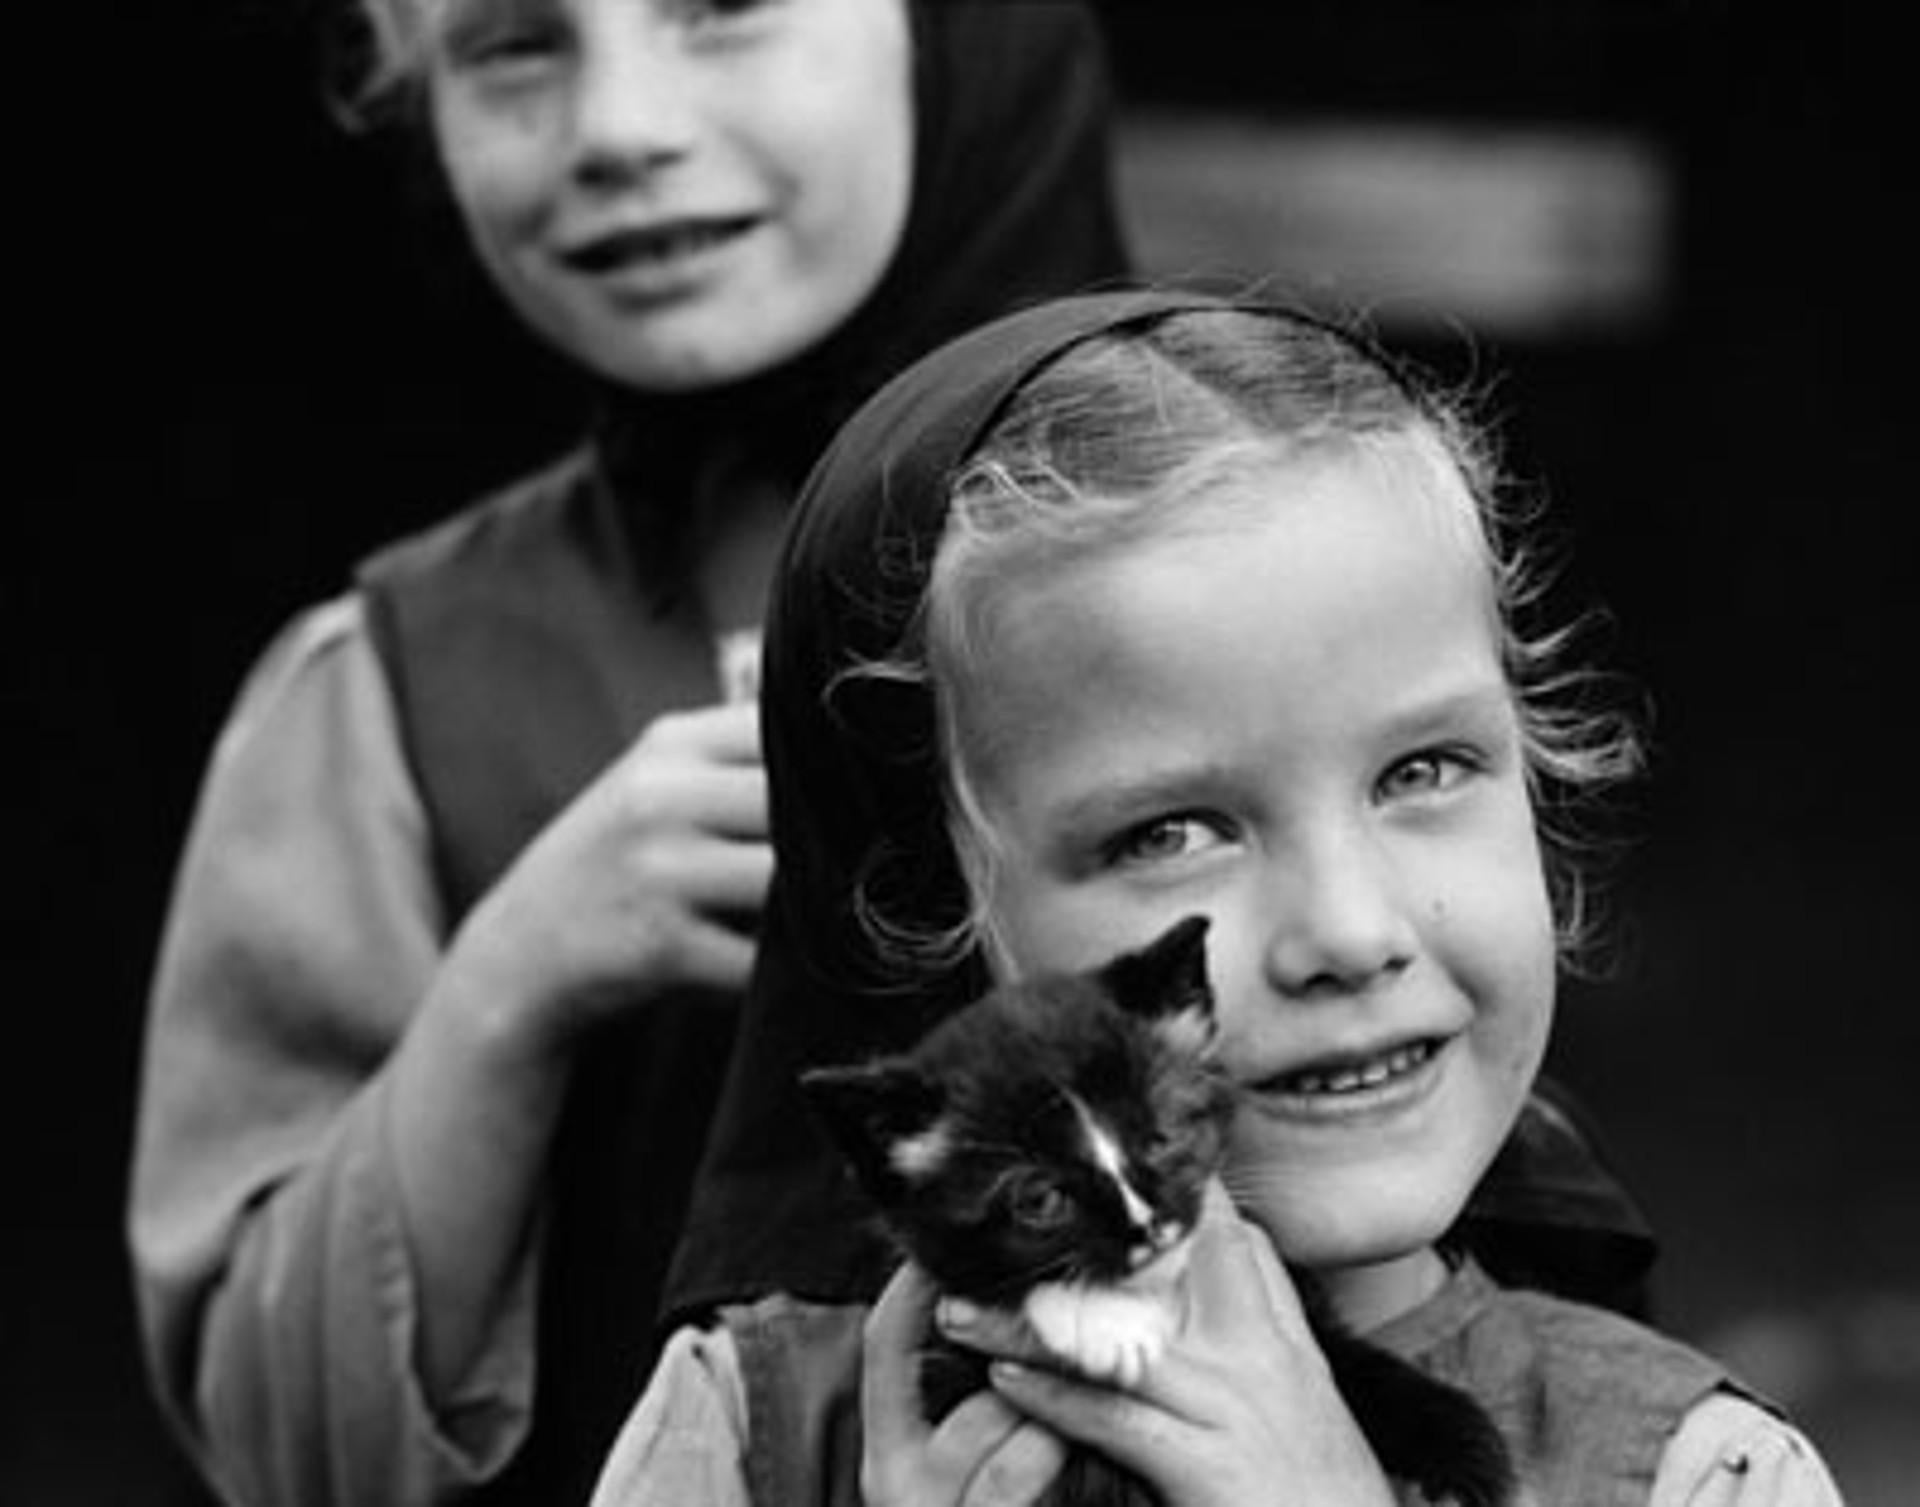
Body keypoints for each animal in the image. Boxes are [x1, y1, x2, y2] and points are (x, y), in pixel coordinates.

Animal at [794, 909, 1512, 1497]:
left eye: (1160, 1136)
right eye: (1040, 1198)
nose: (1150, 1226)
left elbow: (1346, 1365)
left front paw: (1465, 1441)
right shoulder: (943, 1361)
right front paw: (1101, 1323)